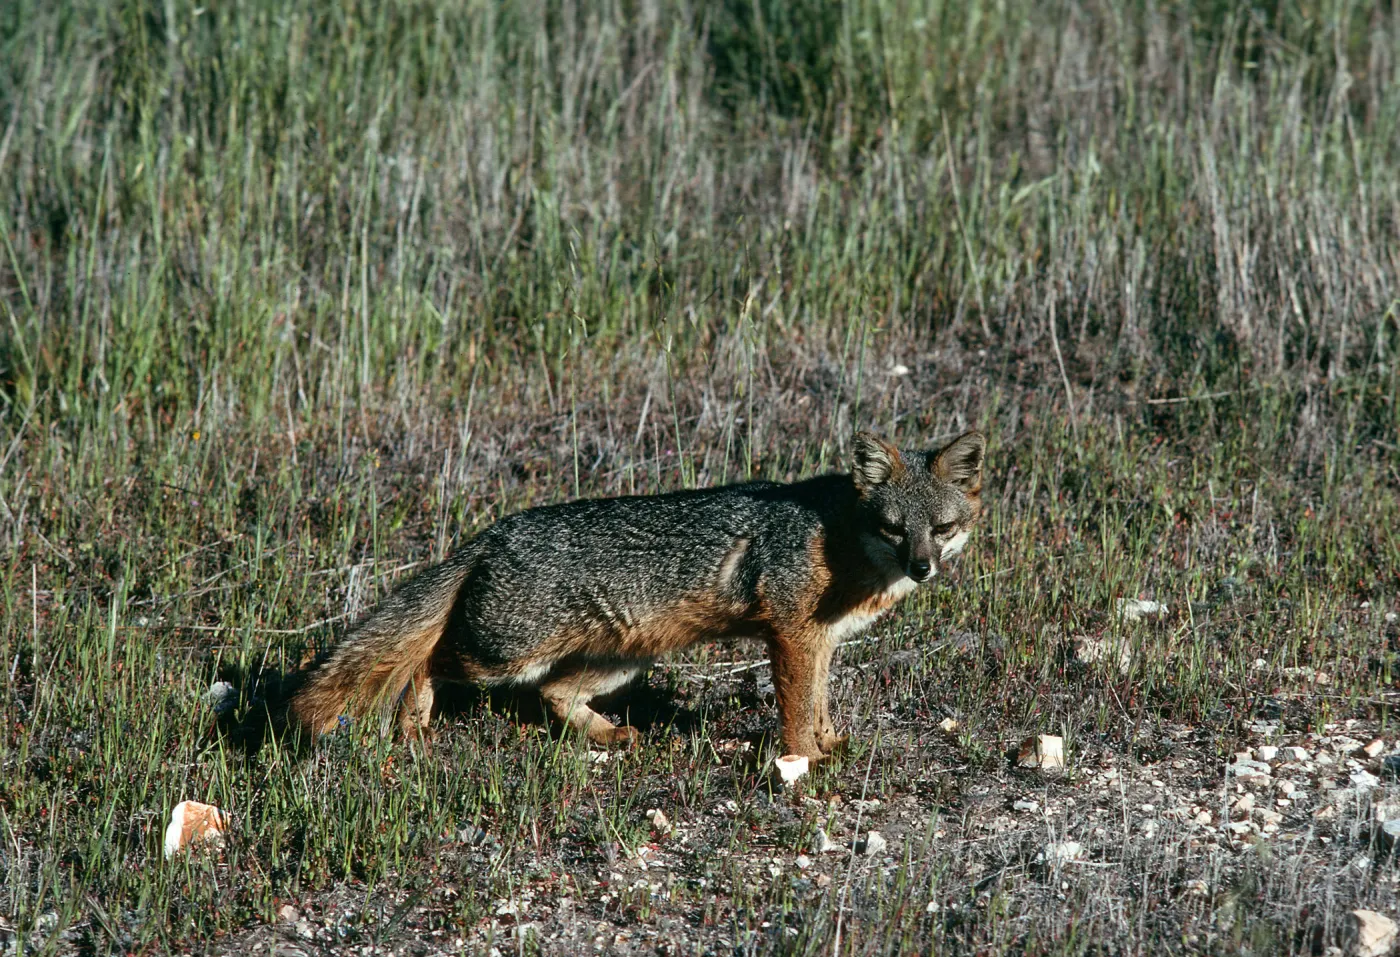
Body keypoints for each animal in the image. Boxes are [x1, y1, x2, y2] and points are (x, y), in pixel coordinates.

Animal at [287, 429, 985, 760]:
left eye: (942, 529)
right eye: (894, 529)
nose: (923, 568)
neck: (836, 538)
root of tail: (490, 533)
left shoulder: (822, 642)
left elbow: (819, 704)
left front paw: (831, 746)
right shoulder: (791, 635)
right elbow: (795, 711)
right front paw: (802, 765)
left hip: (620, 660)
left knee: (553, 694)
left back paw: (611, 736)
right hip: (502, 654)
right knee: (426, 662)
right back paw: (414, 720)